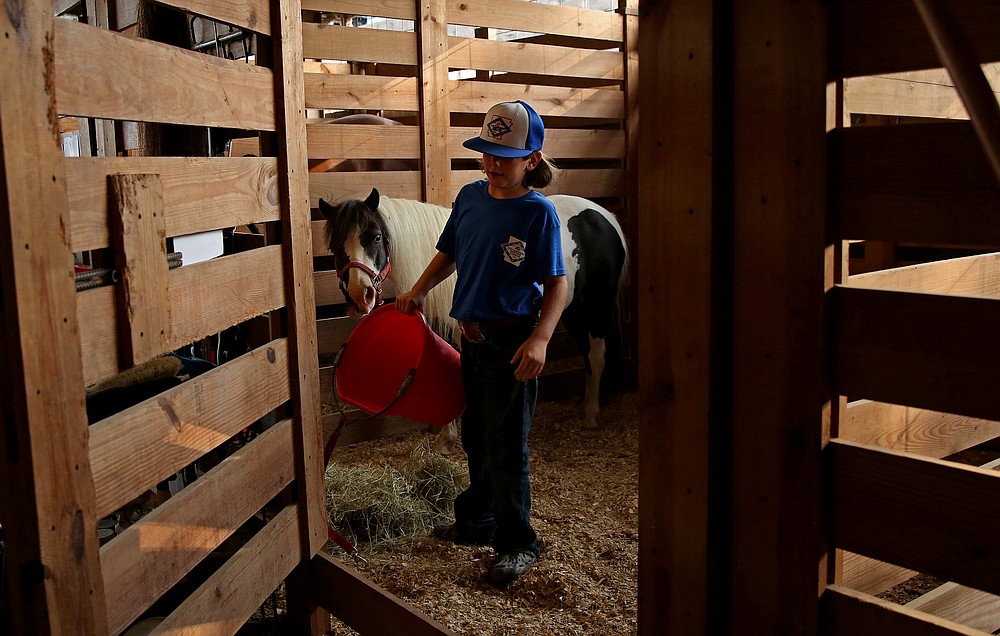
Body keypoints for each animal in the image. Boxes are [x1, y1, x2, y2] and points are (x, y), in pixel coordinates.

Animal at [320, 189, 628, 452]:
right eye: (335, 246)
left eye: (375, 237)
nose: (360, 296)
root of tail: (604, 215)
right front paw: (445, 440)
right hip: (572, 309)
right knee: (587, 353)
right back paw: (585, 404)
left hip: (597, 305)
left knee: (597, 353)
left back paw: (591, 414)